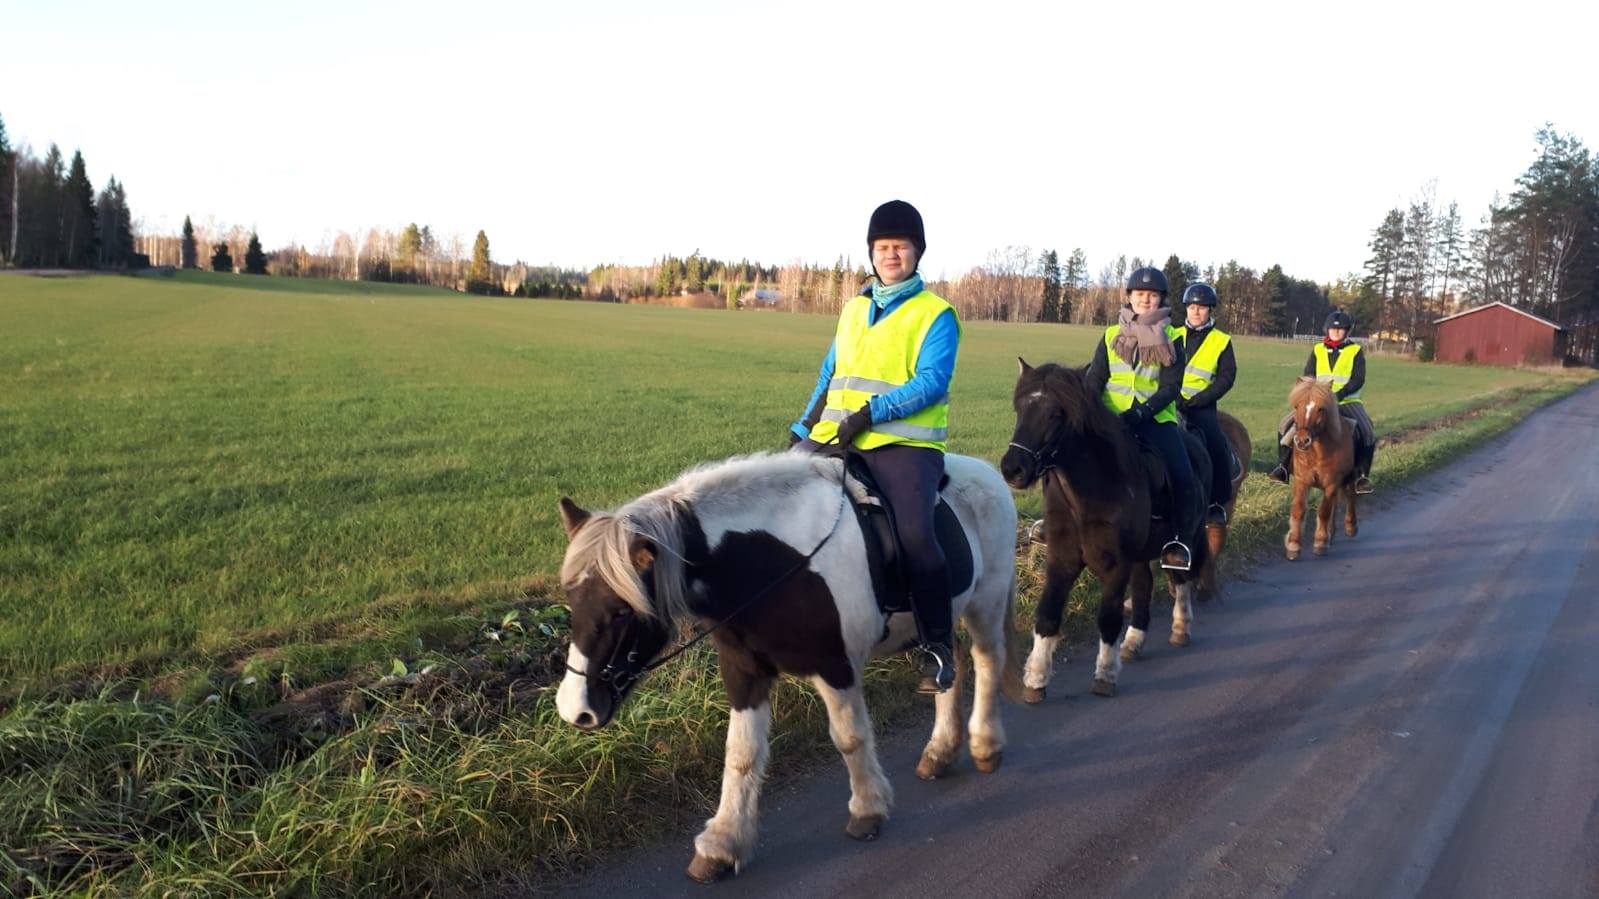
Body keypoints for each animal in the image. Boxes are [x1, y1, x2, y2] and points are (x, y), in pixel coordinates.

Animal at [556, 451, 1016, 876]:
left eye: (621, 610)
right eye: (571, 600)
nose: (575, 709)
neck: (774, 561)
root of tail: (988, 471)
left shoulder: (834, 665)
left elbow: (849, 738)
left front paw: (867, 809)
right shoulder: (744, 671)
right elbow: (741, 752)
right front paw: (723, 842)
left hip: (986, 601)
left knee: (987, 661)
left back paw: (985, 744)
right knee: (951, 663)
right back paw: (940, 751)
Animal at [991, 359, 1240, 697]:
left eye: (1055, 413)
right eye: (1019, 408)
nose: (1012, 469)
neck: (1090, 490)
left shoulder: (1117, 564)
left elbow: (1108, 617)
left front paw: (1105, 674)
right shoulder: (1062, 559)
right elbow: (1047, 614)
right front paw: (1036, 678)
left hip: (1181, 539)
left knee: (1180, 576)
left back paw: (1180, 626)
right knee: (1145, 584)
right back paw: (1134, 641)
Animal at [1285, 374, 1362, 556]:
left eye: (1321, 409)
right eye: (1296, 406)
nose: (1302, 441)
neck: (1317, 452)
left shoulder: (1332, 482)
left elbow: (1324, 511)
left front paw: (1320, 541)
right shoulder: (1302, 480)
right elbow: (1298, 510)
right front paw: (1293, 544)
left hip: (1350, 477)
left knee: (1350, 496)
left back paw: (1350, 527)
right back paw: (1331, 533)